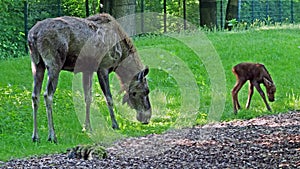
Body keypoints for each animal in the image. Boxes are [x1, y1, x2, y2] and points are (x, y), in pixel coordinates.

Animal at [28, 13, 152, 143]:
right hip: (54, 64)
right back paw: (52, 135)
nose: (147, 118)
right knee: (47, 95)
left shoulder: (87, 70)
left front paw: (87, 127)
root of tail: (33, 35)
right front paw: (115, 125)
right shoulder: (103, 67)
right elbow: (109, 98)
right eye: (145, 91)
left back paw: (35, 136)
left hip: (37, 64)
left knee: (35, 95)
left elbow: (88, 97)